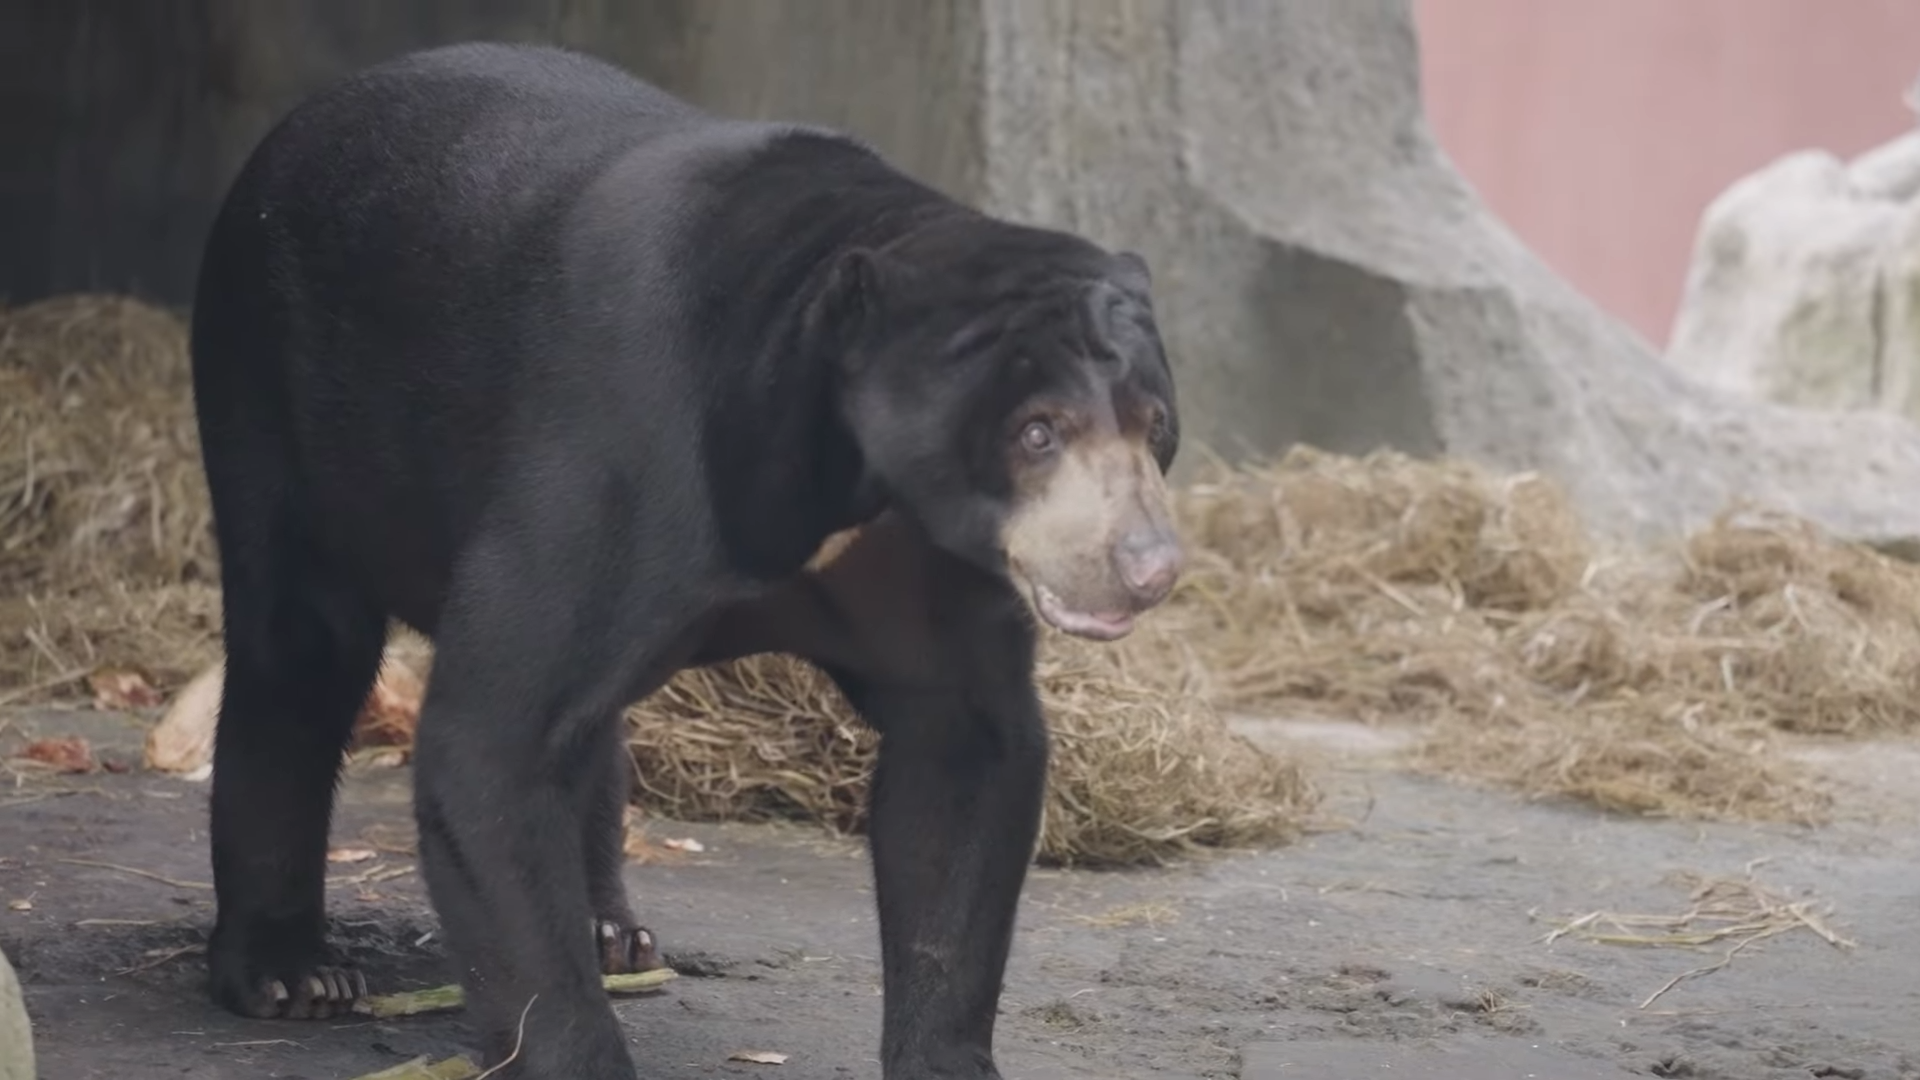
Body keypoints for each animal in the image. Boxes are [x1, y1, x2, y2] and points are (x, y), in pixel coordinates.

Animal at [188, 40, 1183, 1080]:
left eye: (1156, 429)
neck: (832, 476)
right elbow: (494, 741)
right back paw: (293, 974)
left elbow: (963, 764)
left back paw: (611, 933)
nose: (1147, 566)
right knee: (301, 651)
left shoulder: (928, 564)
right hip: (268, 385)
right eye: (1038, 432)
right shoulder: (624, 444)